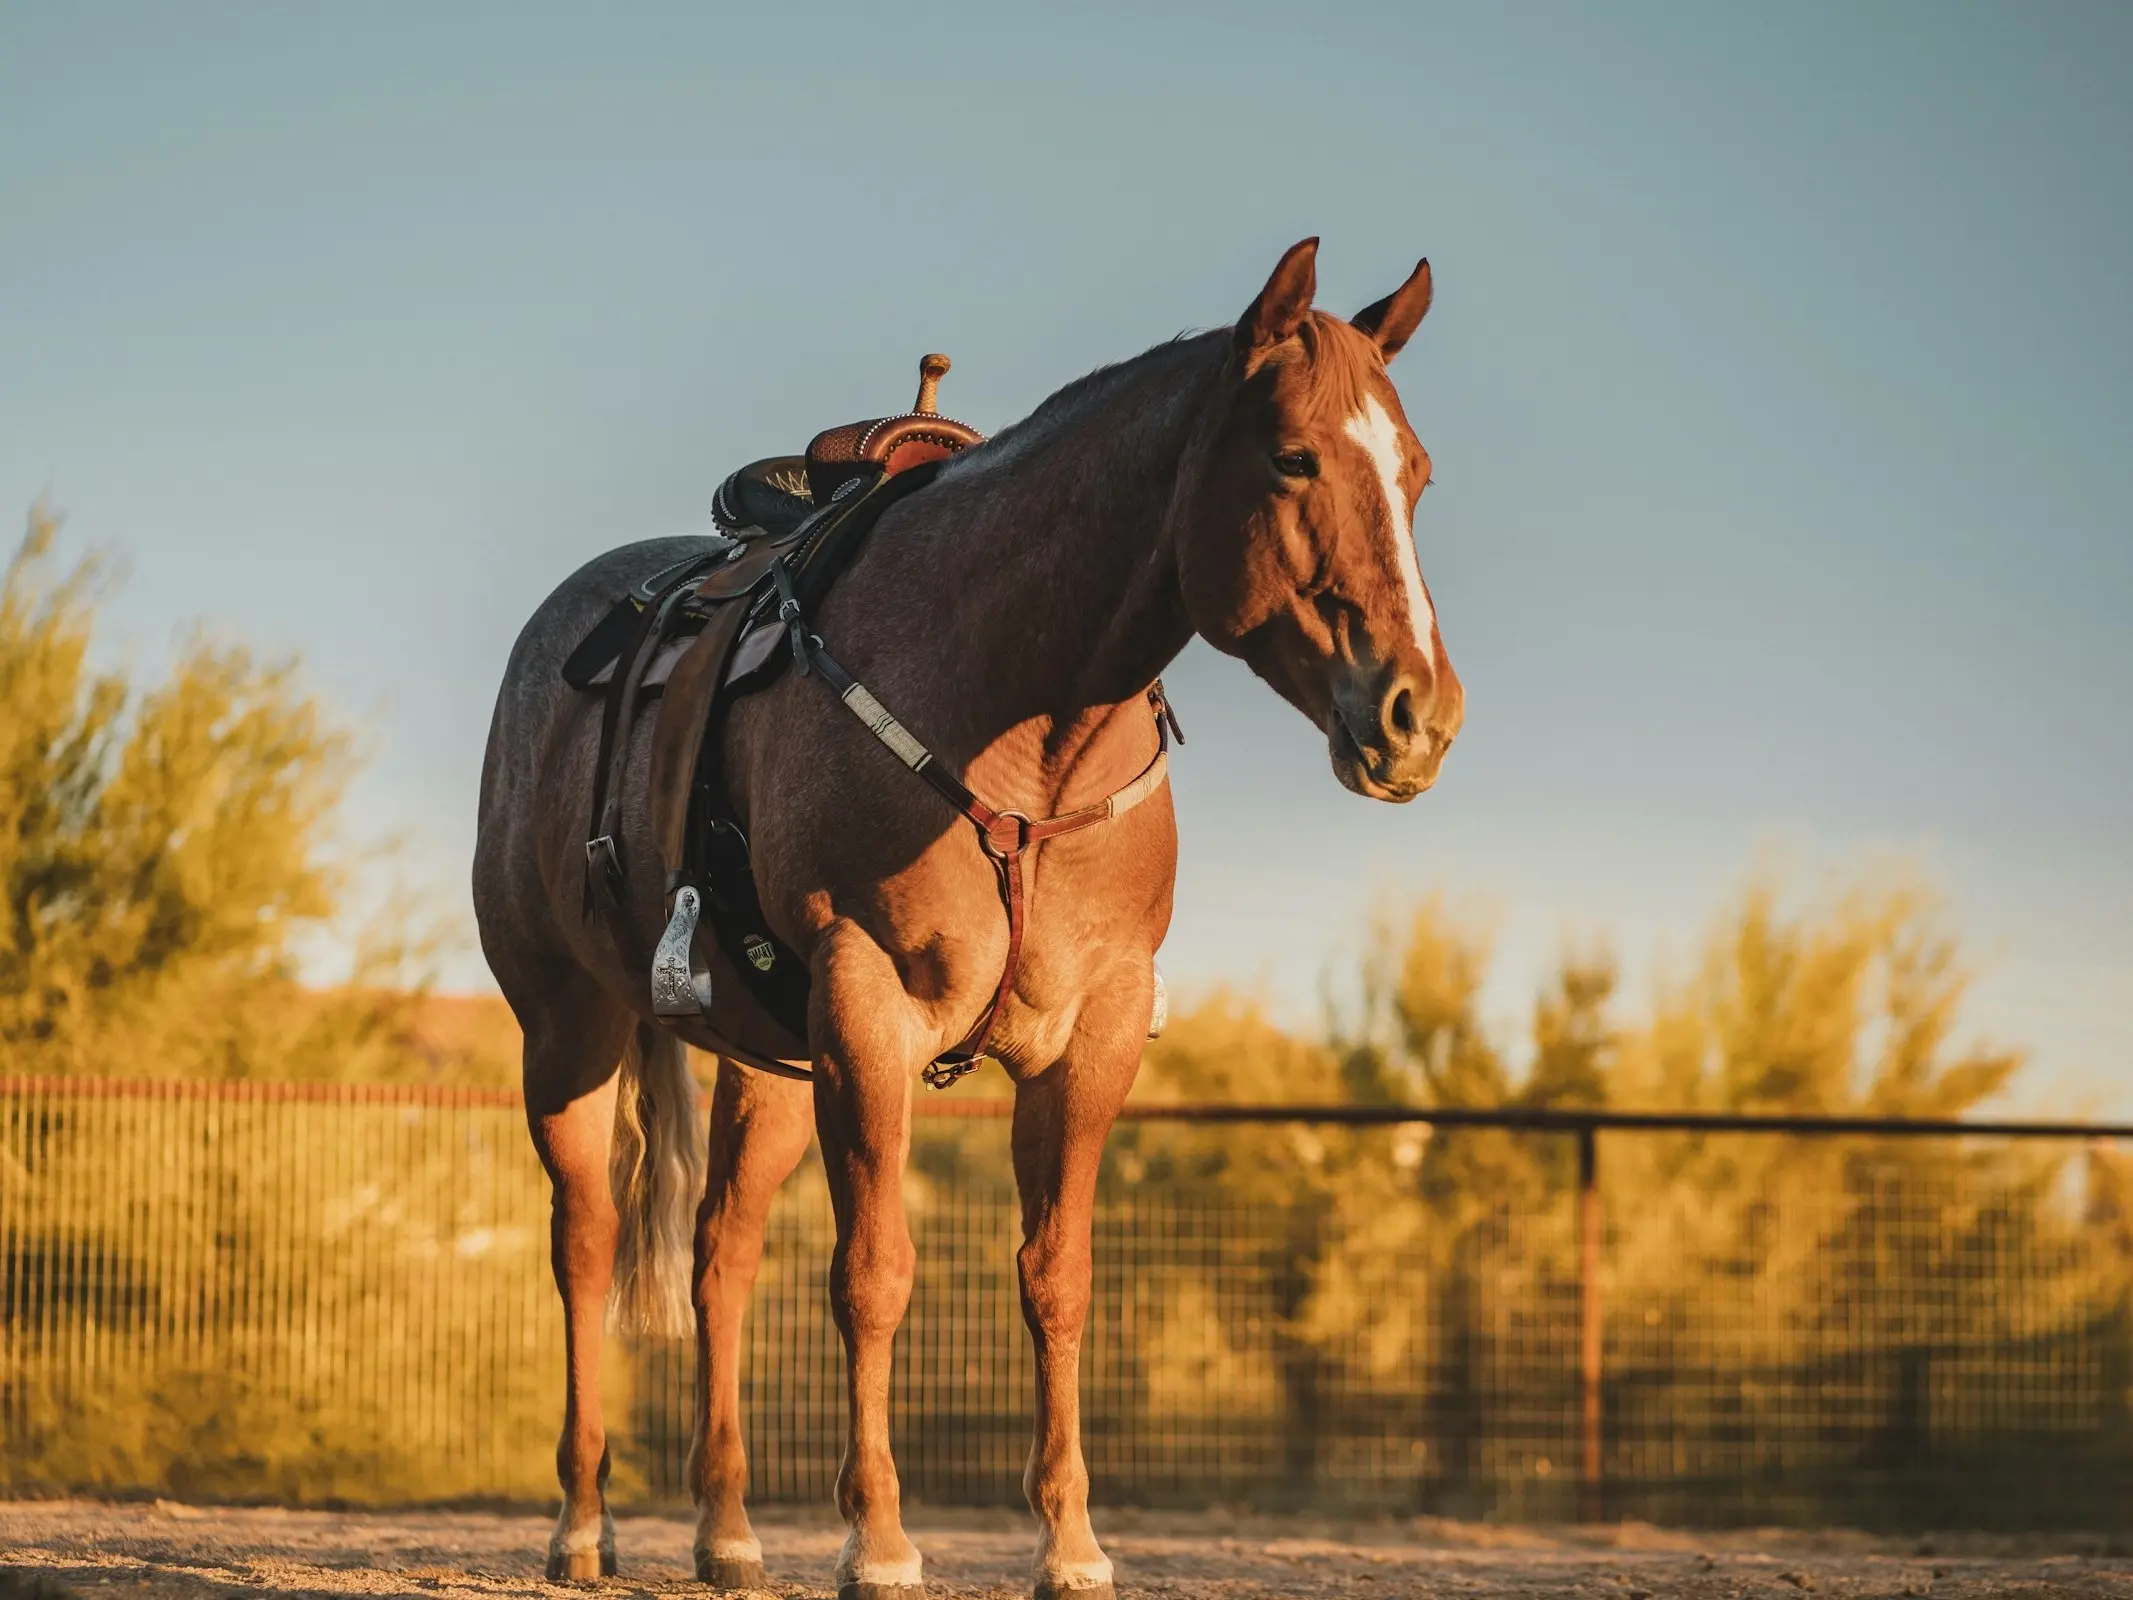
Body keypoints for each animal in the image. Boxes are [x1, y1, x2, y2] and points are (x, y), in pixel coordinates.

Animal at [473, 241, 1458, 1600]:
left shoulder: (1092, 1033)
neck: (1022, 715)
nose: (1420, 714)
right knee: (583, 1242)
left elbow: (1057, 1280)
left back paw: (727, 1529)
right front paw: (880, 1537)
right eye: (1295, 458)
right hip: (568, 1027)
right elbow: (875, 1274)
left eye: (1414, 471)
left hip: (768, 1065)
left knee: (722, 1255)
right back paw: (581, 1521)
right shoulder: (868, 1006)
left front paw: (1070, 1540)